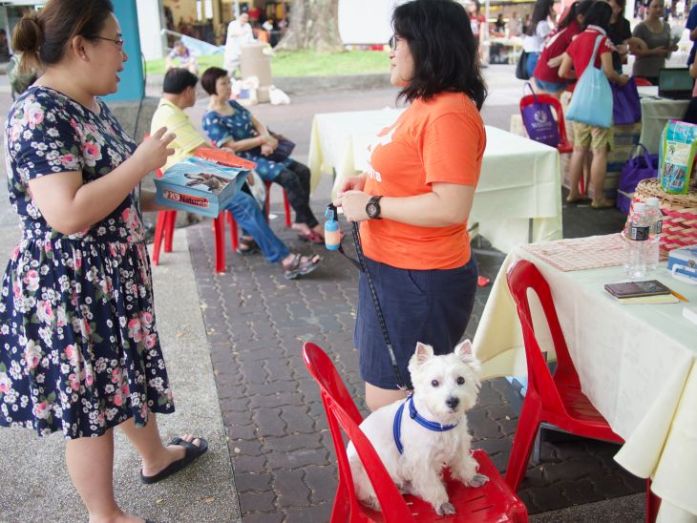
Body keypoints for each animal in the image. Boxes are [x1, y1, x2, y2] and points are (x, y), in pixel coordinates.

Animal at [346, 340, 486, 516]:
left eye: (461, 380)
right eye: (434, 382)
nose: (452, 401)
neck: (441, 423)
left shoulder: (459, 444)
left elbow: (463, 462)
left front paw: (472, 477)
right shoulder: (421, 462)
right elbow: (431, 484)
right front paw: (442, 503)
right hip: (364, 469)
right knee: (374, 493)